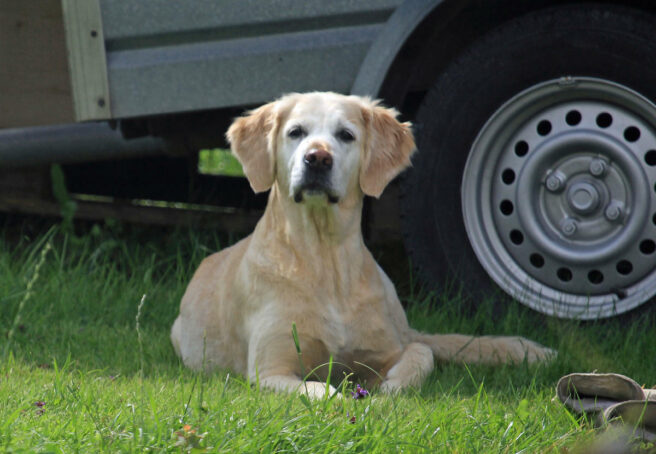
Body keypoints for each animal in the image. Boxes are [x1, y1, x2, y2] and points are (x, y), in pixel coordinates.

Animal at [170, 92, 552, 398]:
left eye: (346, 135)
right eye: (296, 132)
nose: (317, 158)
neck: (325, 258)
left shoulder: (387, 349)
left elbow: (421, 355)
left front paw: (394, 385)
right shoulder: (270, 369)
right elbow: (320, 389)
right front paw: (342, 399)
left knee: (428, 341)